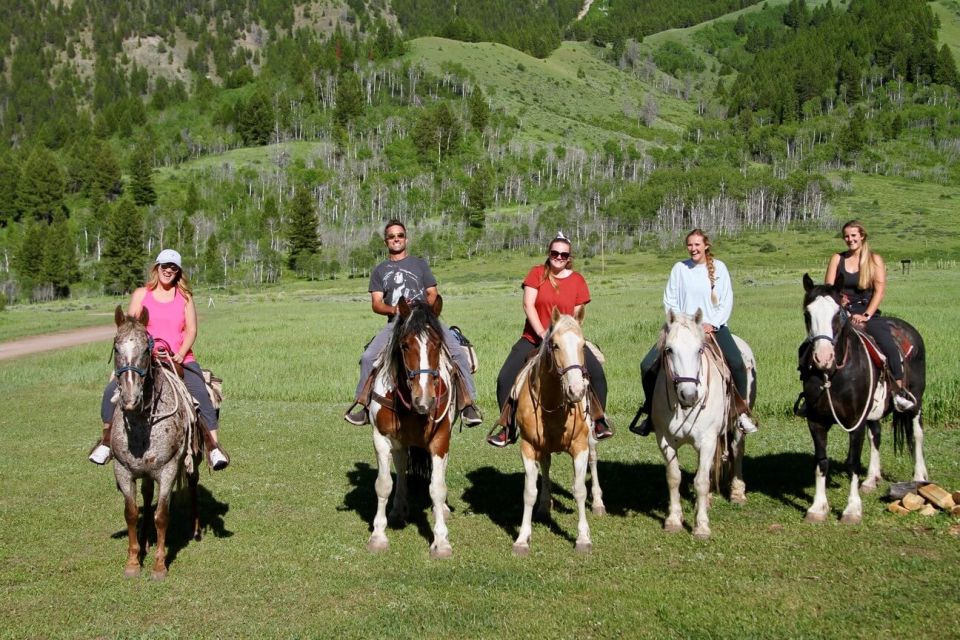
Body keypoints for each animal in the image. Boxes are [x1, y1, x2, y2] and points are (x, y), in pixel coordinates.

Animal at [107, 306, 201, 580]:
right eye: (116, 347)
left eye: (146, 349)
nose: (130, 397)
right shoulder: (123, 471)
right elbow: (131, 513)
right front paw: (132, 562)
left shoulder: (168, 470)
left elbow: (162, 515)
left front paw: (159, 566)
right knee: (147, 495)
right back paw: (144, 540)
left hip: (193, 460)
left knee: (192, 484)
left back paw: (196, 530)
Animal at [368, 298, 458, 556]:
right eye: (405, 345)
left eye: (437, 344)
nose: (424, 399)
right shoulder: (381, 438)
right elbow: (383, 485)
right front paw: (378, 536)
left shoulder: (440, 439)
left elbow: (437, 487)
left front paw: (441, 541)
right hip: (399, 442)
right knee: (399, 465)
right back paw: (399, 509)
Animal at [510, 306, 600, 556]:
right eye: (555, 345)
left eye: (582, 345)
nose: (576, 391)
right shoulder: (528, 447)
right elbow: (529, 492)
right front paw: (522, 539)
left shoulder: (579, 447)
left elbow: (579, 489)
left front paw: (583, 538)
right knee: (546, 465)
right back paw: (544, 504)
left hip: (591, 440)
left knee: (594, 461)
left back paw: (599, 503)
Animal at [648, 310, 752, 540]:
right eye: (669, 349)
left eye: (699, 350)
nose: (689, 395)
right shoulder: (665, 440)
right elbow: (674, 477)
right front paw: (673, 520)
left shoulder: (707, 440)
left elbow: (701, 481)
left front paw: (701, 526)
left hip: (736, 426)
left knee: (737, 450)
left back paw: (737, 492)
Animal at [800, 272, 928, 524]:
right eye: (807, 314)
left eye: (838, 314)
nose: (822, 357)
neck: (833, 373)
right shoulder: (816, 421)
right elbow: (821, 461)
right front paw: (818, 508)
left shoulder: (855, 422)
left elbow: (852, 463)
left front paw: (852, 510)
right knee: (875, 435)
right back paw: (871, 479)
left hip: (915, 400)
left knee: (916, 433)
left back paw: (919, 476)